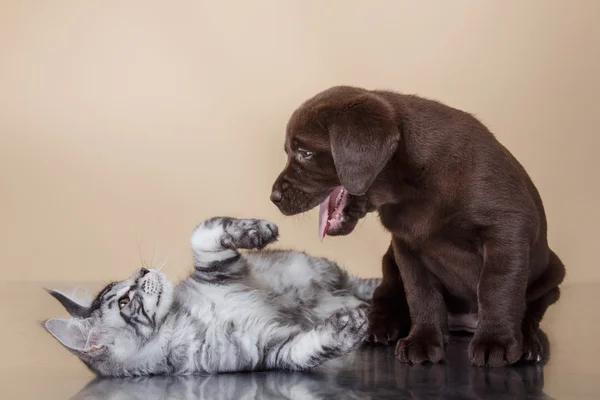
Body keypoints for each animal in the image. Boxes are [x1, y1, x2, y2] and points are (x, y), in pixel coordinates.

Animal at [43, 217, 380, 376]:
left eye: (130, 278)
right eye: (124, 301)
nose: (142, 270)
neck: (187, 319)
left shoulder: (217, 269)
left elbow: (202, 234)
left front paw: (256, 229)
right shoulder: (268, 350)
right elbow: (310, 348)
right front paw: (348, 327)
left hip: (324, 269)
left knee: (364, 284)